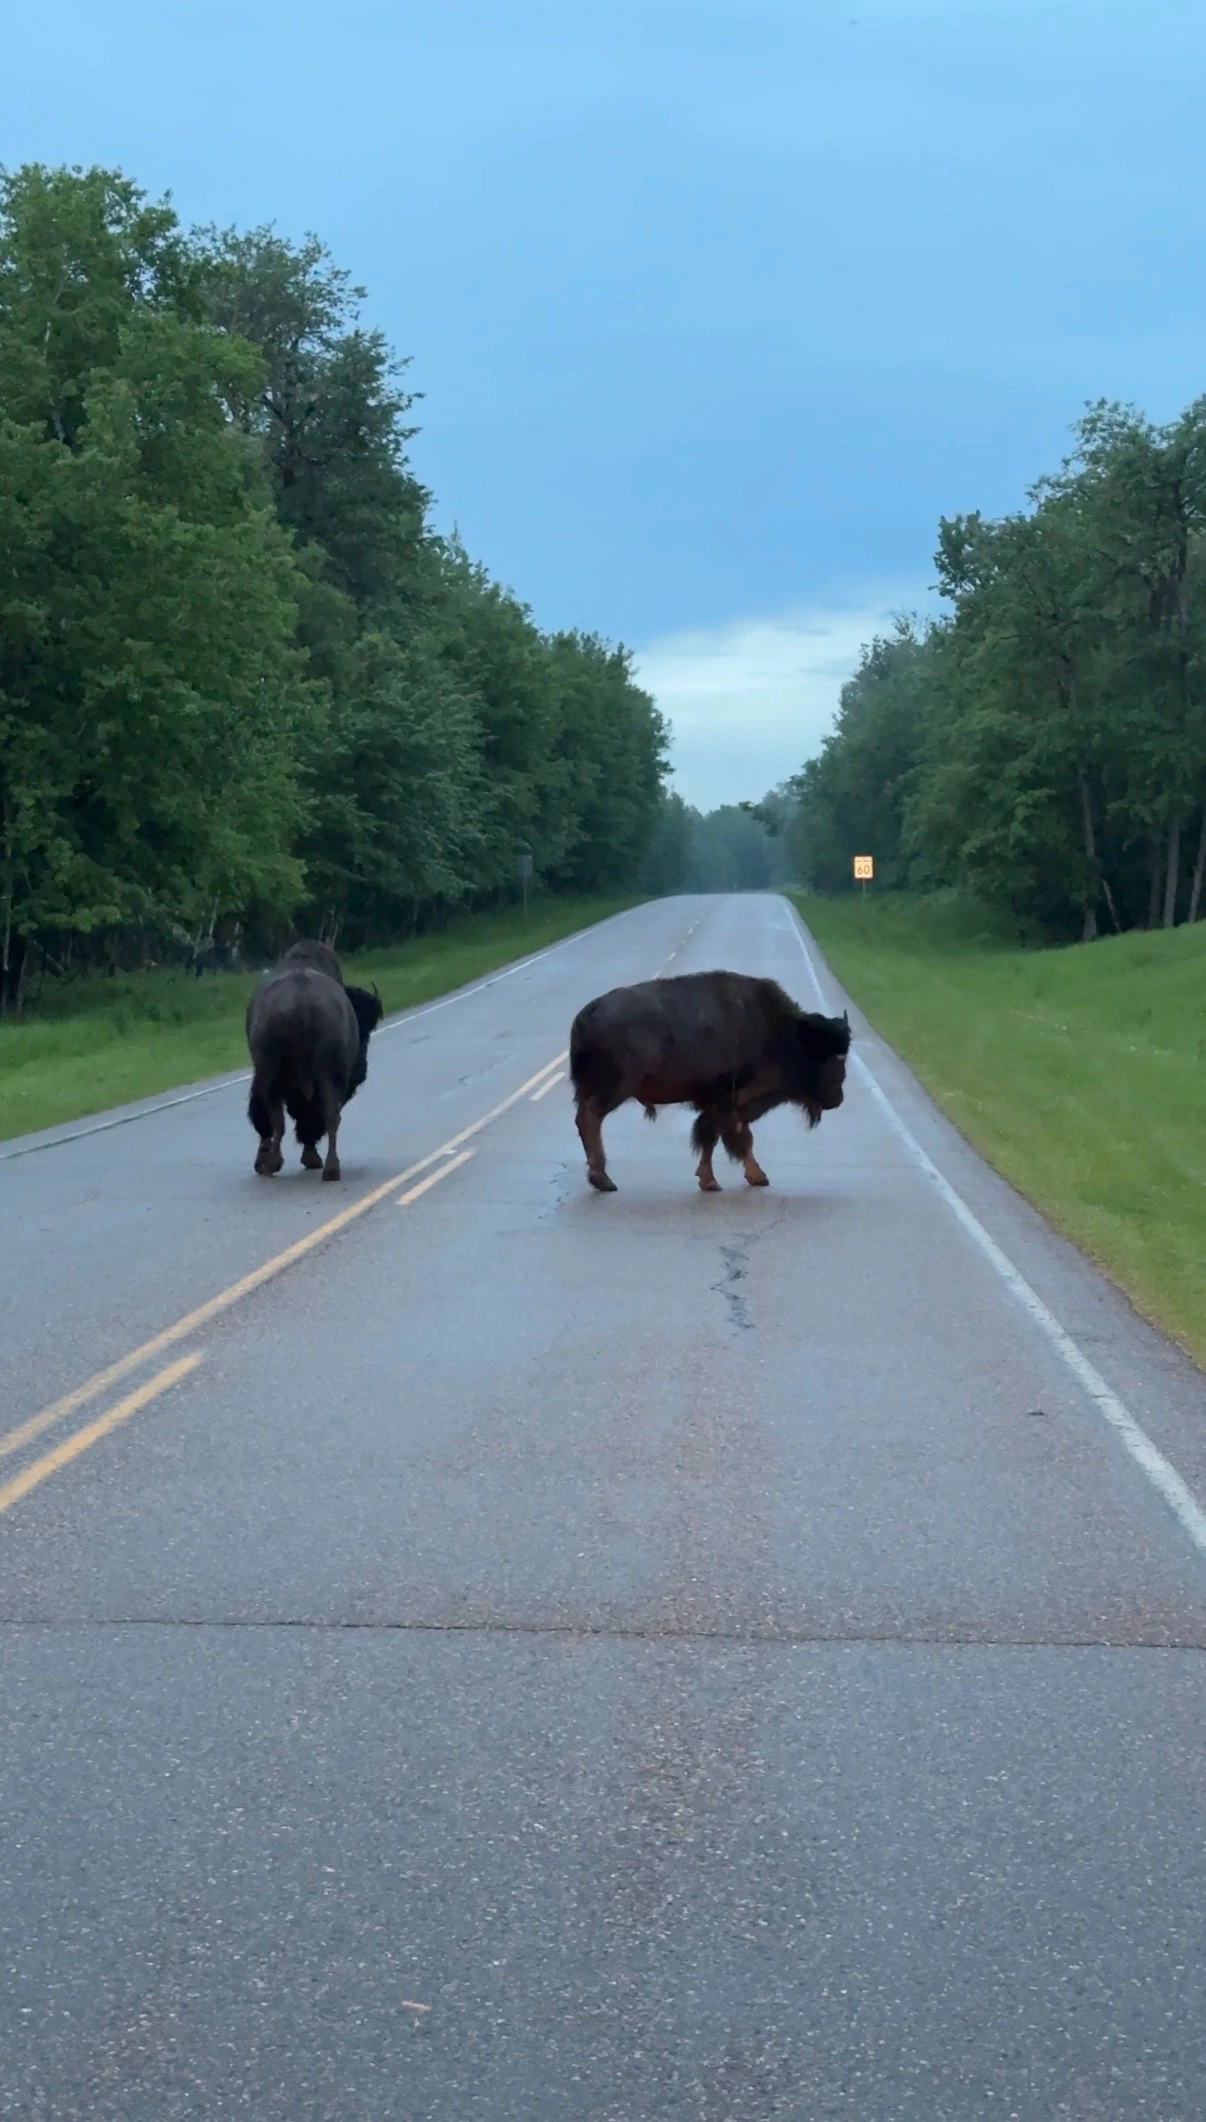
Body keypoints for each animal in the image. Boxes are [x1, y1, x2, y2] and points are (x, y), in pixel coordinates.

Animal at [246, 942, 384, 1181]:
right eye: (363, 1030)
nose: (362, 1071)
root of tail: (303, 1004)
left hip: (277, 1075)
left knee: (280, 1120)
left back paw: (276, 1164)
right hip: (321, 1077)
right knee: (328, 1117)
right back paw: (329, 1169)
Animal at [569, 969, 851, 1193]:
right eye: (835, 1059)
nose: (837, 1098)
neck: (782, 1032)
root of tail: (587, 1014)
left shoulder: (720, 1102)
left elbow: (713, 1136)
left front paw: (714, 1180)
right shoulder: (727, 1098)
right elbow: (736, 1137)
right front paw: (747, 1178)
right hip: (614, 1088)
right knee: (590, 1119)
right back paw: (603, 1181)